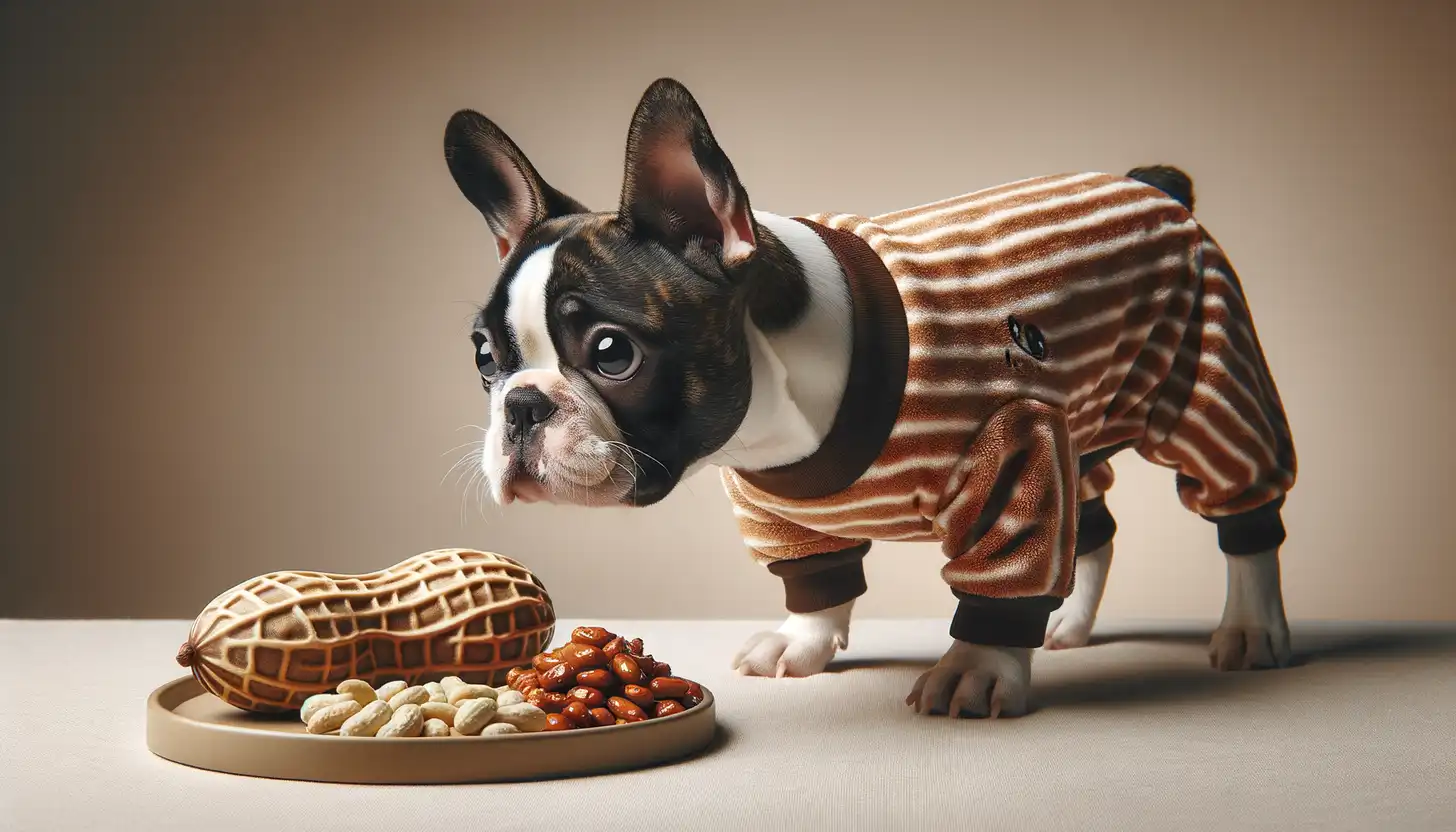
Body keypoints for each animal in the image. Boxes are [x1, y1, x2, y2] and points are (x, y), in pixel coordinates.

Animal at [442, 75, 1298, 719]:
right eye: (485, 357)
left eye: (612, 353)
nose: (522, 406)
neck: (777, 403)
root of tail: (1153, 186)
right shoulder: (779, 503)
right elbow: (815, 577)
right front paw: (803, 641)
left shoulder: (1016, 451)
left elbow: (1004, 569)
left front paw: (980, 663)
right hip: (1078, 429)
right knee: (1095, 528)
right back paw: (1071, 626)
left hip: (1205, 381)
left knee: (1241, 509)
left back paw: (1252, 628)